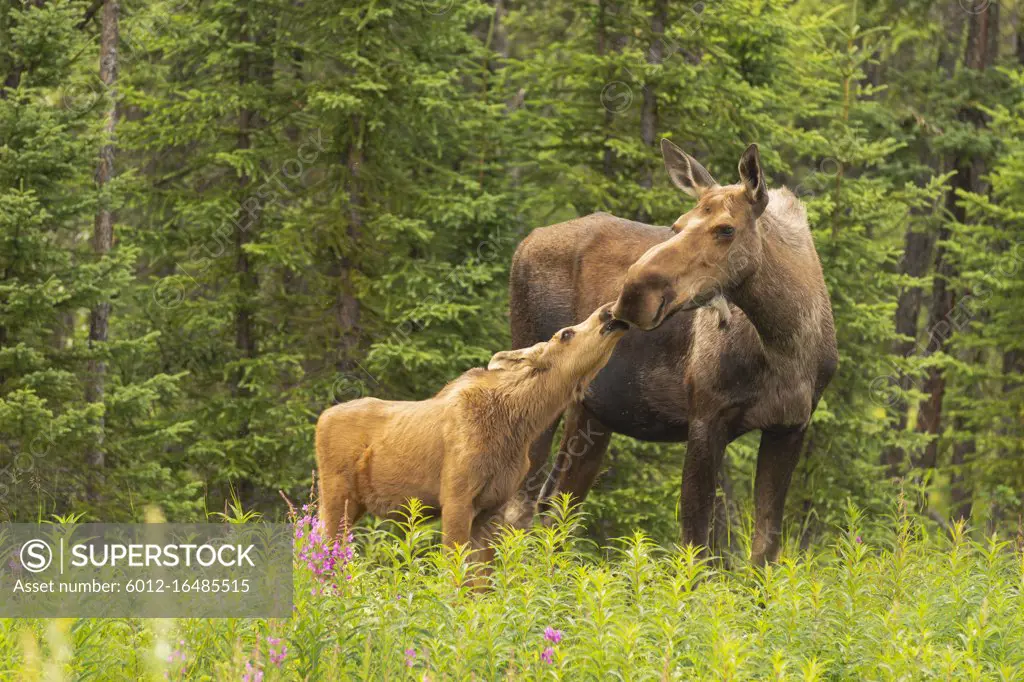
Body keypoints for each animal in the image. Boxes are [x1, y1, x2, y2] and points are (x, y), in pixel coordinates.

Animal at [315, 305, 626, 561]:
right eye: (566, 333)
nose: (607, 312)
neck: (519, 425)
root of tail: (320, 420)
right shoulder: (456, 498)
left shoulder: (492, 506)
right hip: (337, 494)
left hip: (354, 504)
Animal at [507, 139, 835, 561]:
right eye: (676, 225)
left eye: (725, 228)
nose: (631, 295)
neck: (786, 344)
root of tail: (523, 243)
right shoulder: (706, 417)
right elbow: (696, 544)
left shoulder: (790, 426)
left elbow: (763, 549)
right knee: (516, 508)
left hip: (591, 414)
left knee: (555, 509)